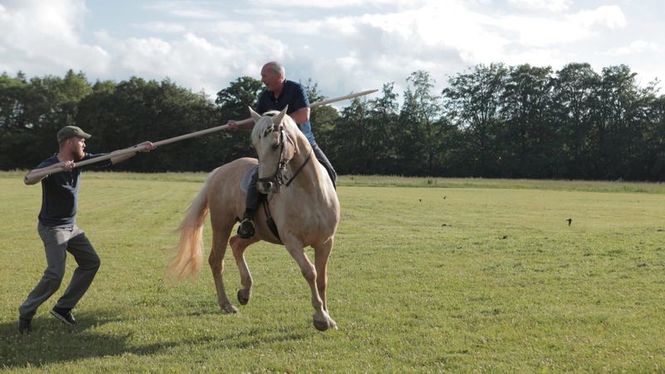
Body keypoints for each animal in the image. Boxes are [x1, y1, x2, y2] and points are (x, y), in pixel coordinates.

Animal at [169, 106, 340, 330]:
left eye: (276, 145)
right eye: (256, 146)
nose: (264, 185)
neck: (309, 190)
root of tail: (220, 171)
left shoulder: (325, 242)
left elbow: (322, 278)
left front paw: (328, 317)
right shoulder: (292, 242)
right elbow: (310, 272)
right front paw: (320, 318)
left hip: (256, 231)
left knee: (236, 244)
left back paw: (244, 291)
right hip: (222, 223)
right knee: (216, 260)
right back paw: (227, 304)